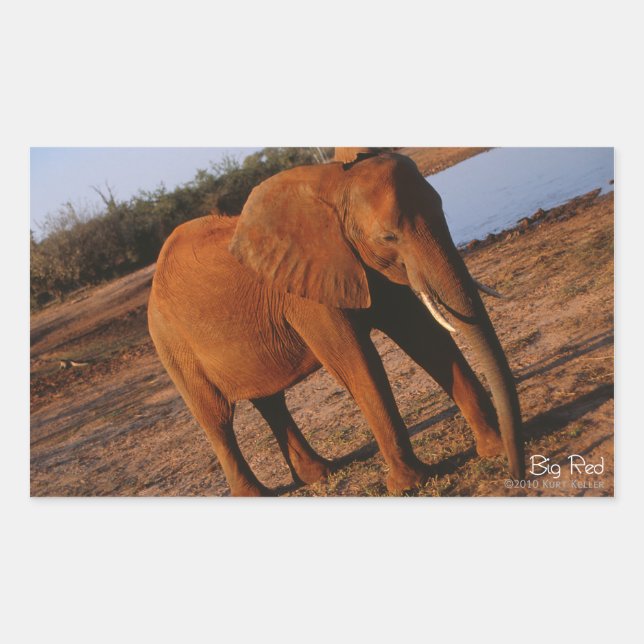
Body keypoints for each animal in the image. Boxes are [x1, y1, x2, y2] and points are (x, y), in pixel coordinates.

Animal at [148, 151, 524, 496]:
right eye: (388, 237)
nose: (515, 473)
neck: (333, 186)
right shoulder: (305, 292)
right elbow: (356, 364)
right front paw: (407, 485)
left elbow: (423, 336)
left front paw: (492, 448)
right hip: (172, 347)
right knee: (217, 420)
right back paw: (256, 494)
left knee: (271, 401)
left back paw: (320, 474)